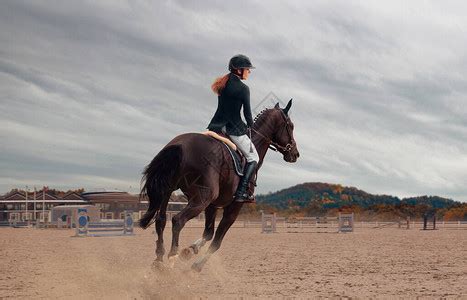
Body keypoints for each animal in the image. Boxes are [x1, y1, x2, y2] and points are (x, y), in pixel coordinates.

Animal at [139, 99, 300, 272]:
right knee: (177, 220)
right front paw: (196, 265)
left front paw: (190, 250)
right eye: (290, 126)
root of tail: (180, 145)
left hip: (168, 190)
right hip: (202, 198)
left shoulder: (213, 205)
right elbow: (217, 241)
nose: (295, 154)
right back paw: (171, 259)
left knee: (161, 219)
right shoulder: (234, 206)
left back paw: (159, 260)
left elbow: (209, 233)